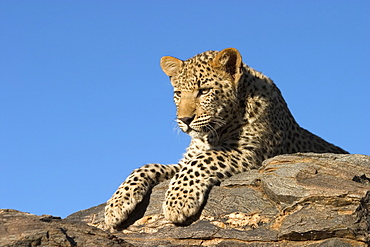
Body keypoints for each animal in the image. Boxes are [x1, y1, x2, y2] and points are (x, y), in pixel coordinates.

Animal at [103, 47, 346, 229]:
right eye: (178, 94)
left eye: (204, 91)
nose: (184, 120)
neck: (212, 133)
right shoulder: (182, 161)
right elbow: (147, 166)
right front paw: (115, 205)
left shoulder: (252, 154)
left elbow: (202, 161)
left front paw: (177, 202)